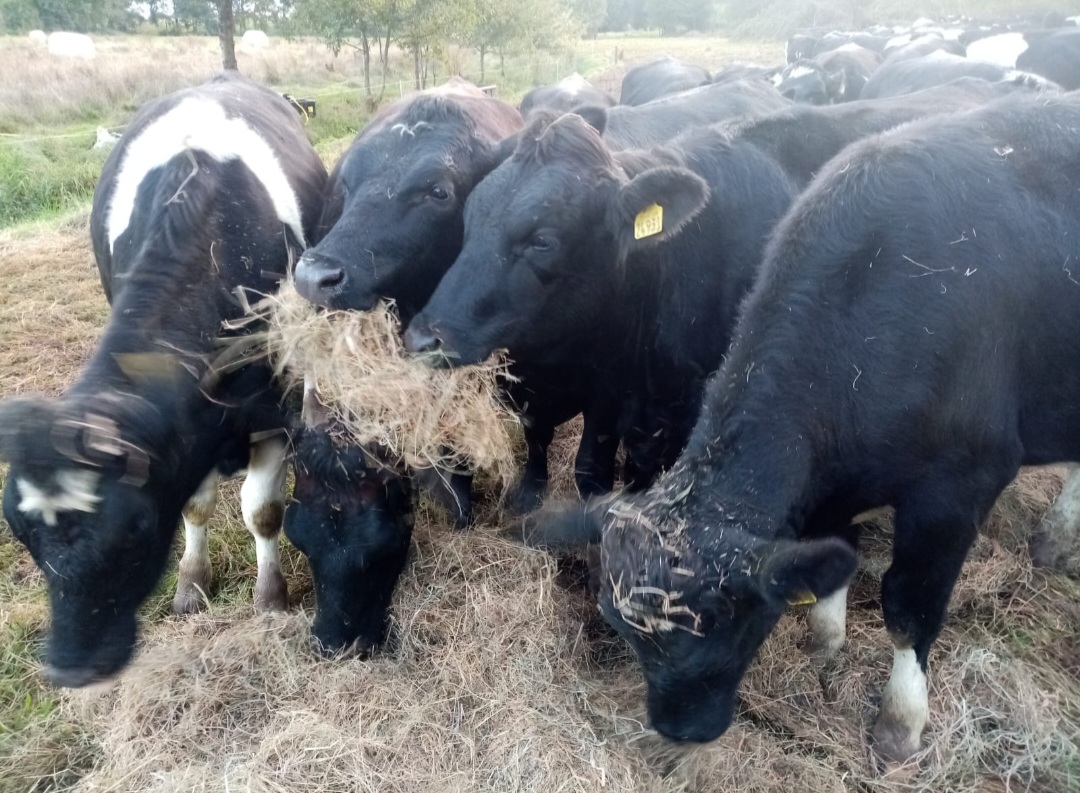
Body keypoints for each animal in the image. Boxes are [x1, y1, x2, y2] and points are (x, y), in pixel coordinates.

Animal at [0, 74, 328, 687]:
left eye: (134, 530)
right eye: (23, 535)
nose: (70, 668)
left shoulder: (276, 405)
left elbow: (263, 510)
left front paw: (270, 597)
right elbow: (196, 505)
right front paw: (191, 585)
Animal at [523, 91, 1080, 763]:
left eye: (727, 620)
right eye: (618, 628)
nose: (682, 731)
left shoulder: (960, 485)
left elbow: (909, 606)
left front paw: (900, 721)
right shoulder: (831, 486)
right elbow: (831, 565)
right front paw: (821, 648)